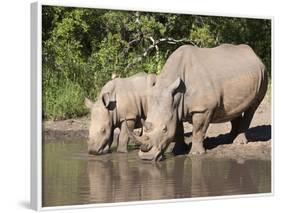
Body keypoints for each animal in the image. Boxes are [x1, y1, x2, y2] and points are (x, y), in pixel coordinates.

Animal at [127, 44, 266, 161]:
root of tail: (255, 55)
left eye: (164, 129)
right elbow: (178, 129)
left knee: (252, 108)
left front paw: (196, 153)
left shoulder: (203, 108)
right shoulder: (175, 108)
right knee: (234, 108)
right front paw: (178, 151)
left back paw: (238, 142)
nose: (146, 157)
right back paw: (229, 139)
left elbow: (199, 129)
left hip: (263, 73)